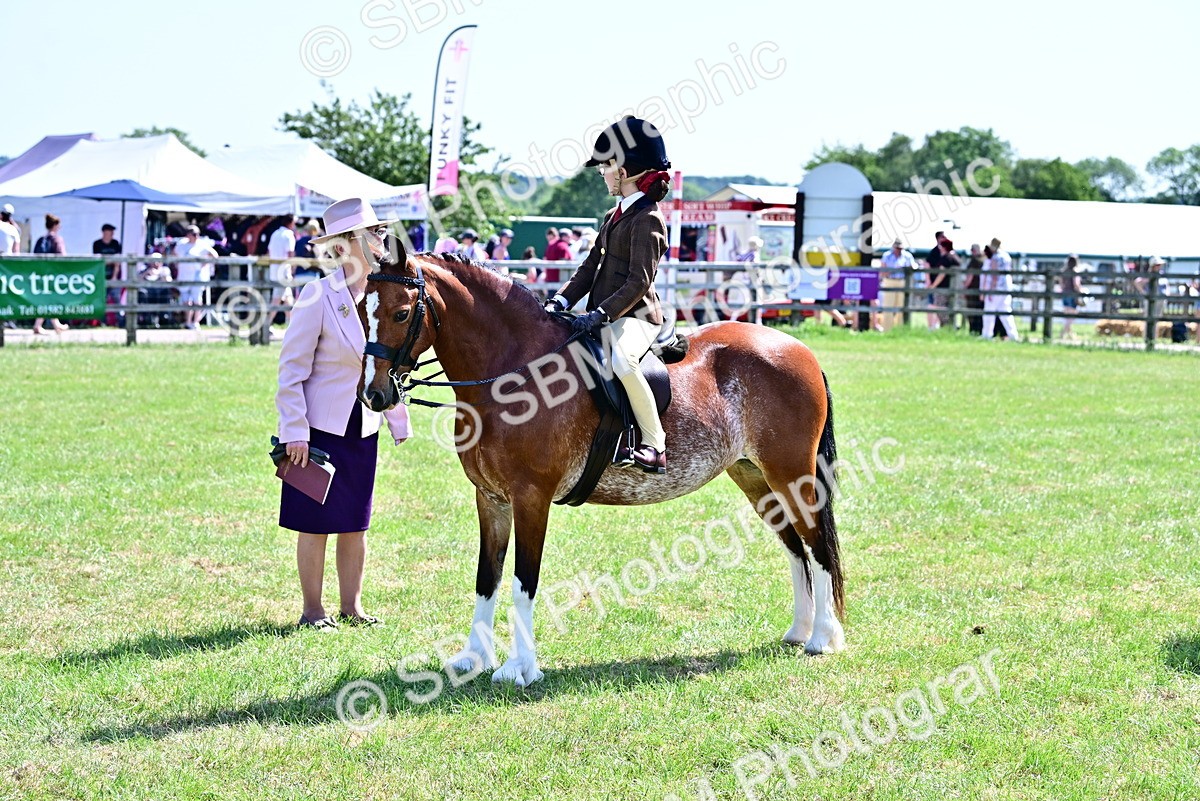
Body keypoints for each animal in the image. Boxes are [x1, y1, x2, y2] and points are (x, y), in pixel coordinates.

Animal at [358, 246, 845, 686]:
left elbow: (523, 580)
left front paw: (519, 669)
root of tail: (798, 348)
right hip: (755, 477)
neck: (515, 370)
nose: (375, 395)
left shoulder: (530, 498)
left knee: (816, 543)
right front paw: (473, 657)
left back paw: (822, 638)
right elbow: (487, 577)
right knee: (795, 547)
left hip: (790, 474)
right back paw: (798, 631)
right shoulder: (491, 498)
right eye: (363, 310)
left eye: (401, 314)